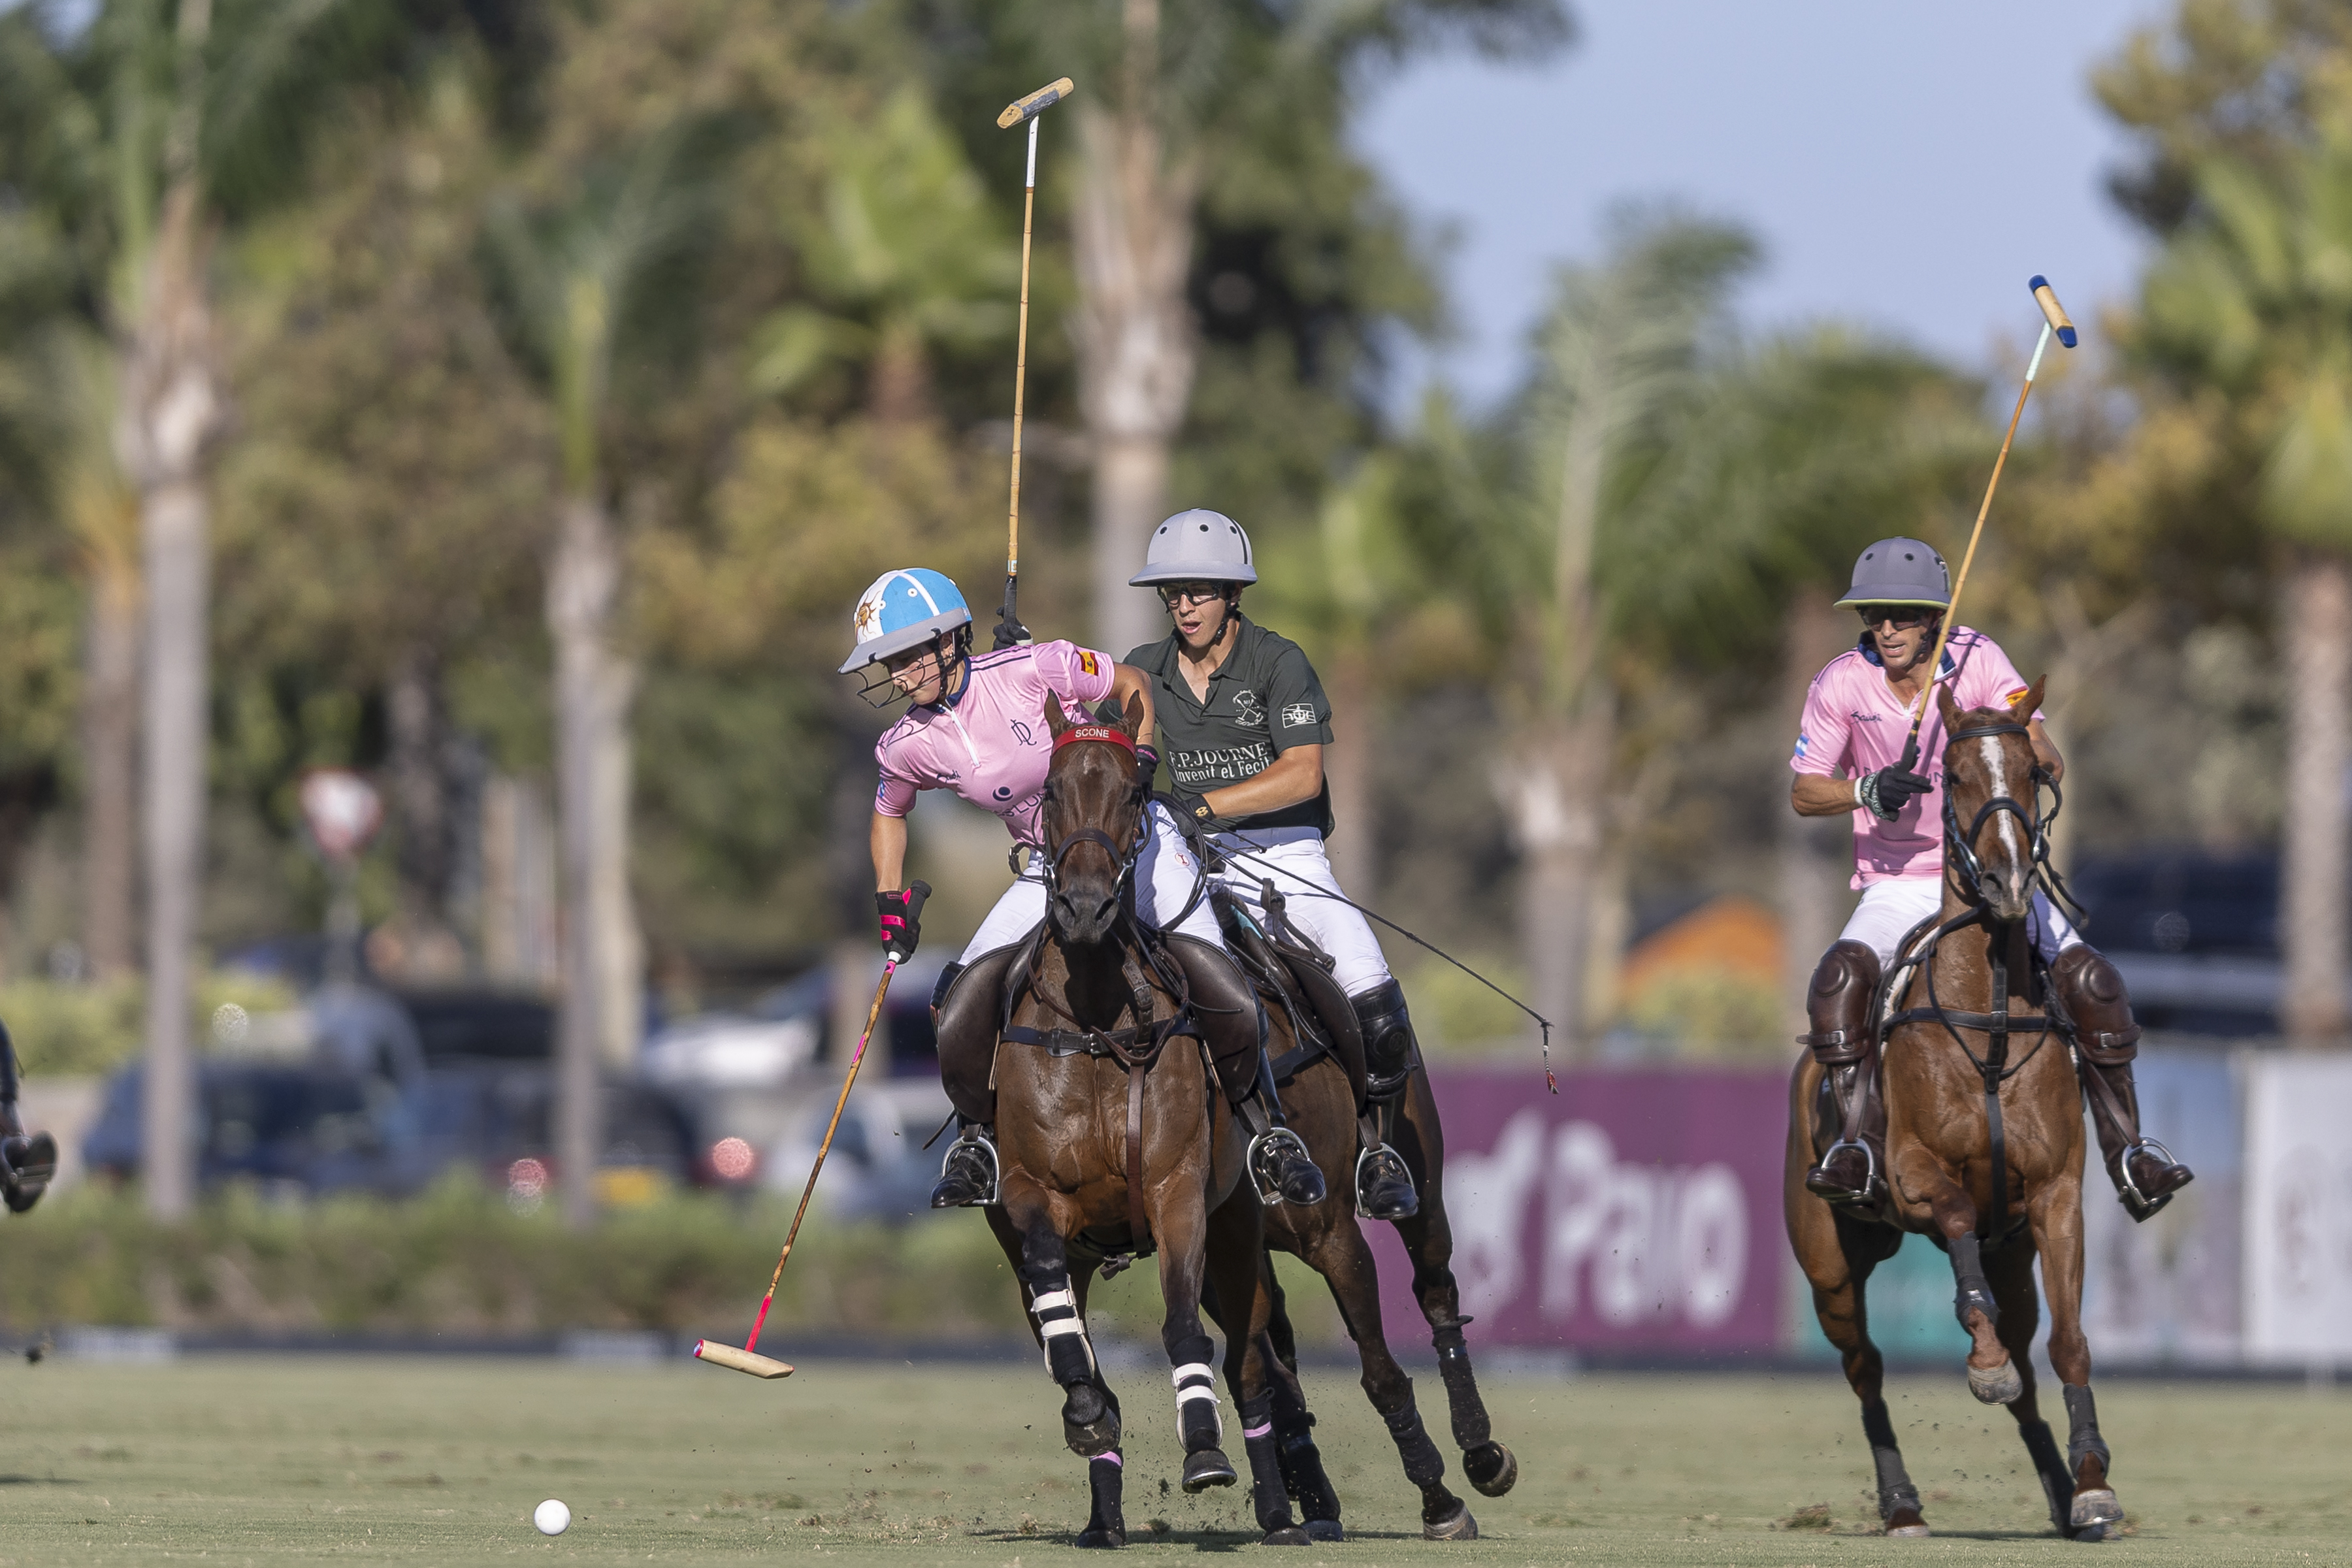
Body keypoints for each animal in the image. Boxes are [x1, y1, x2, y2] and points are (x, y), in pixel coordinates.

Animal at [969, 696, 1307, 1542]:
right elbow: (1064, 1327)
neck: (1095, 1019)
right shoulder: (1029, 1196)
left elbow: (1185, 1327)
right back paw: (1102, 1508)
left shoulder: (1176, 1188)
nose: (1086, 909)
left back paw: (1278, 1509)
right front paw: (1089, 1412)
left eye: (1133, 792)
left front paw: (1203, 1449)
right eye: (1050, 790)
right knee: (1068, 1338)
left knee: (1252, 1364)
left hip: (1237, 1228)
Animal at [1788, 677, 2126, 1542]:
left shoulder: (2055, 1199)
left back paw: (2060, 1492)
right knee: (1865, 1368)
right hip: (1829, 1266)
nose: (2009, 885)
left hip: (2012, 1252)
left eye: (2034, 771)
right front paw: (1981, 1365)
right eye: (1955, 777)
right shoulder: (1912, 1176)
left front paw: (2093, 1483)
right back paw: (1902, 1504)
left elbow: (2070, 1343)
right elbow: (1957, 1219)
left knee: (2026, 1358)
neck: (1993, 1019)